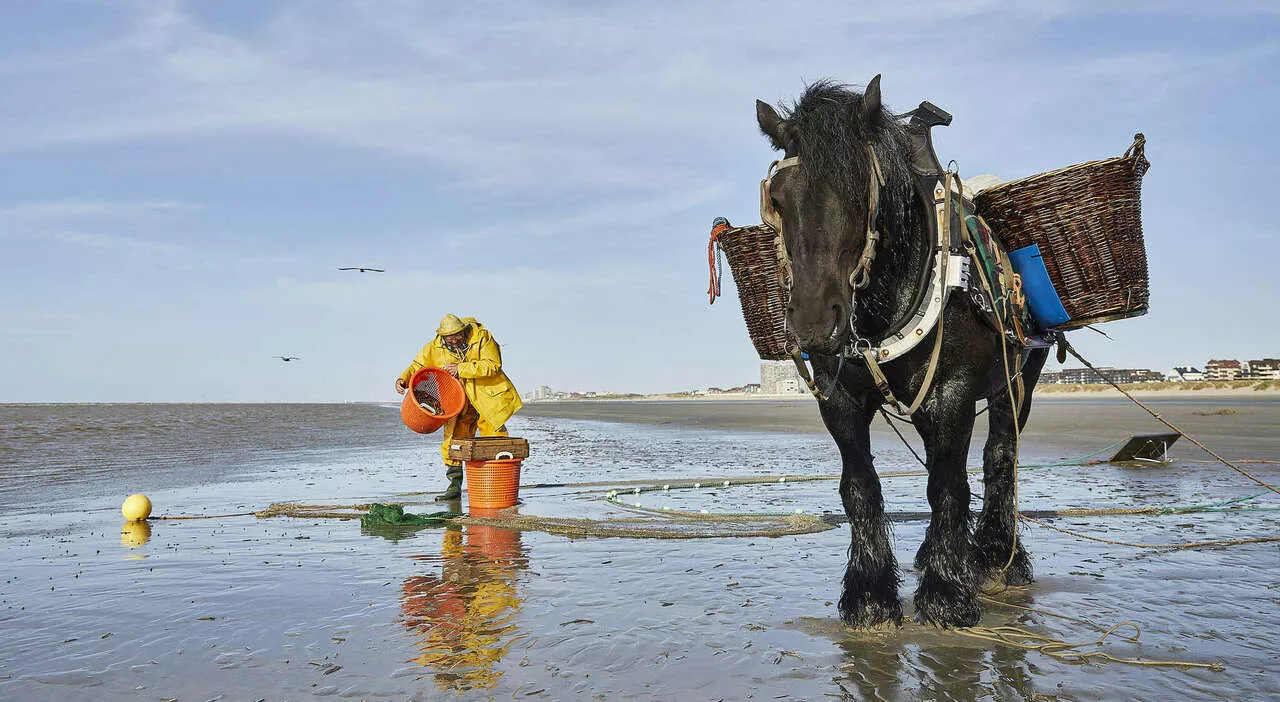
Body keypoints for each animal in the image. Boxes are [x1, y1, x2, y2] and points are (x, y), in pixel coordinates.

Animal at [752, 75, 1044, 625]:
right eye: (778, 197)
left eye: (861, 189)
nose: (813, 320)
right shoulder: (840, 399)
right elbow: (860, 488)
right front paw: (869, 593)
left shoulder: (950, 396)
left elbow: (948, 487)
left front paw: (947, 593)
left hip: (1021, 376)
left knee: (1001, 454)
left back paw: (998, 555)